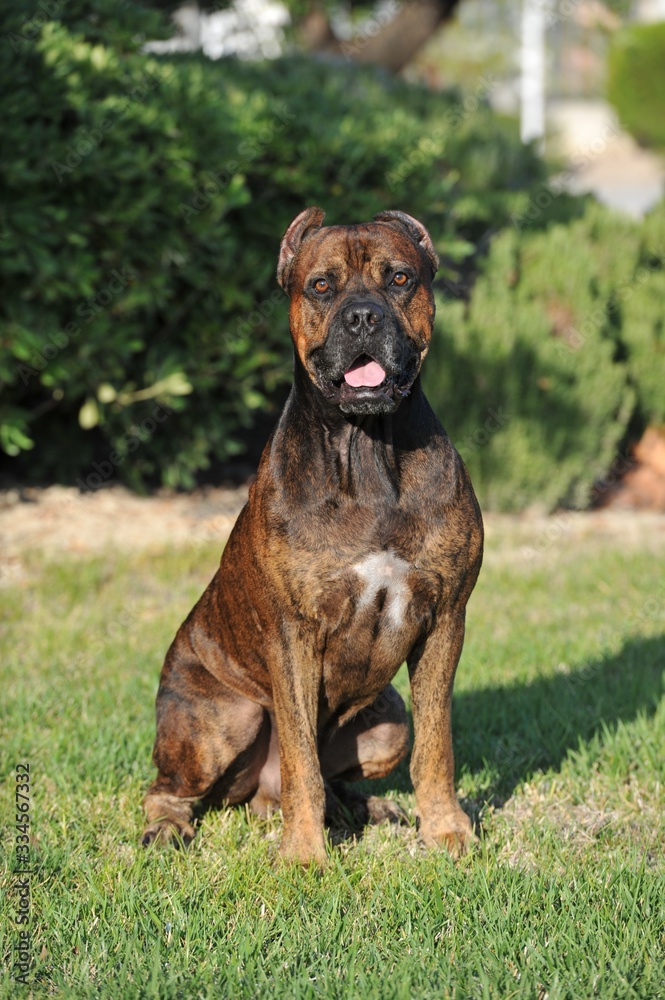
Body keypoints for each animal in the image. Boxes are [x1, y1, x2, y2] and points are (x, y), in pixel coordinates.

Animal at [142, 207, 483, 864]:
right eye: (322, 286)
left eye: (399, 278)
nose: (363, 316)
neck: (369, 451)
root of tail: (256, 795)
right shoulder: (292, 632)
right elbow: (301, 755)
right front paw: (303, 855)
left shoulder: (445, 620)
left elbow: (437, 744)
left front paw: (445, 829)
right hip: (221, 721)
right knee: (169, 787)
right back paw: (169, 828)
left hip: (387, 721)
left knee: (343, 775)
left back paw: (368, 810)